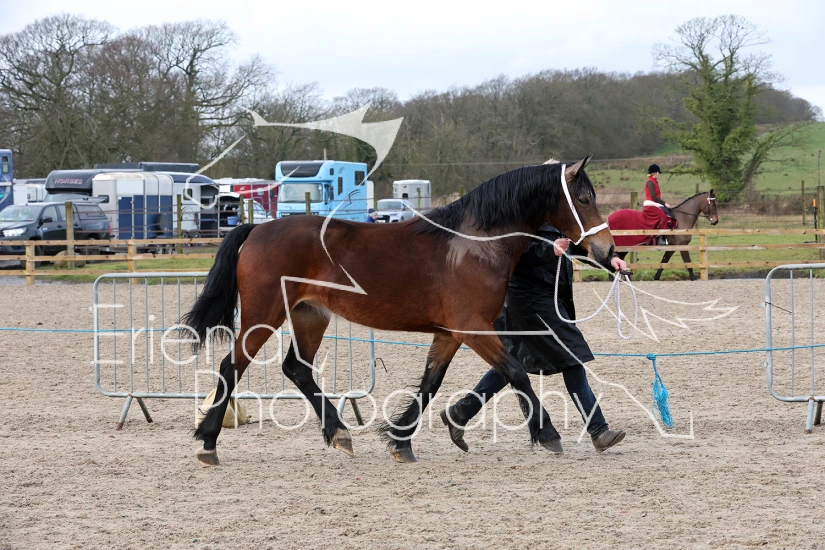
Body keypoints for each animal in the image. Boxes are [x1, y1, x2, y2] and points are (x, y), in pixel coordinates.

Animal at [182, 157, 616, 465]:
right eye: (583, 199)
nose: (607, 251)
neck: (475, 243)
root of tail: (257, 229)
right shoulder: (472, 327)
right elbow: (516, 373)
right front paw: (549, 434)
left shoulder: (450, 332)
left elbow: (430, 384)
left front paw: (400, 440)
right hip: (264, 316)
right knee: (231, 366)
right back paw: (208, 442)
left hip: (309, 316)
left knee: (297, 369)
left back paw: (339, 433)